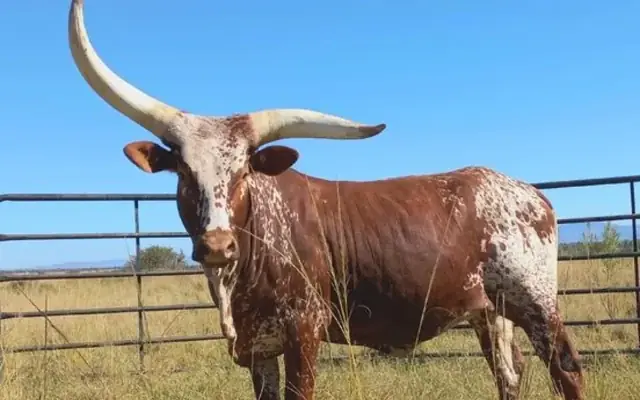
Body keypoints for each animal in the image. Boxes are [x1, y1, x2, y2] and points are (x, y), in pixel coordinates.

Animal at [67, 1, 585, 399]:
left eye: (243, 172)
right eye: (183, 171)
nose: (216, 246)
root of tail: (530, 193)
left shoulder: (303, 332)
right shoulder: (259, 348)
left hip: (536, 301)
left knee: (567, 370)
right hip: (490, 312)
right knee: (509, 374)